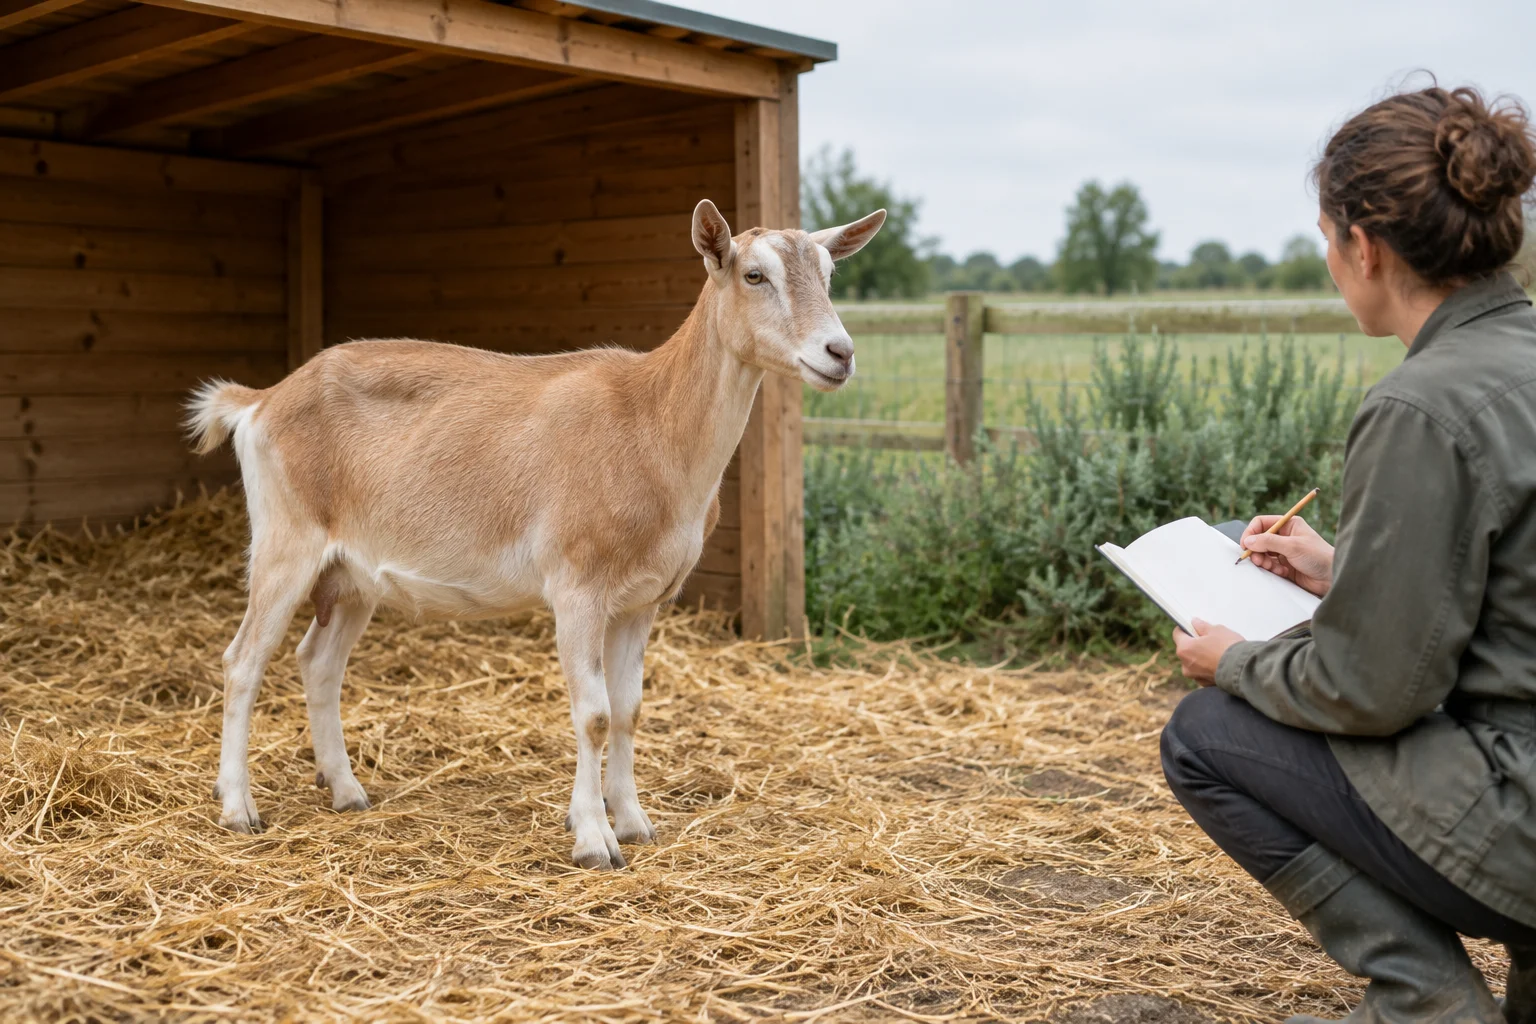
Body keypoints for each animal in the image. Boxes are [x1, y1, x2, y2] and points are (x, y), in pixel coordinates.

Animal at [185, 199, 885, 868]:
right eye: (754, 274)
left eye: (829, 273)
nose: (841, 353)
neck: (650, 426)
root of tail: (261, 402)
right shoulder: (577, 587)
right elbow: (594, 714)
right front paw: (594, 841)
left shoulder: (643, 600)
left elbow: (629, 710)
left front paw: (634, 823)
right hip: (285, 540)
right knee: (243, 661)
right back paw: (238, 807)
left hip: (352, 575)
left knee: (318, 663)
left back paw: (347, 790)